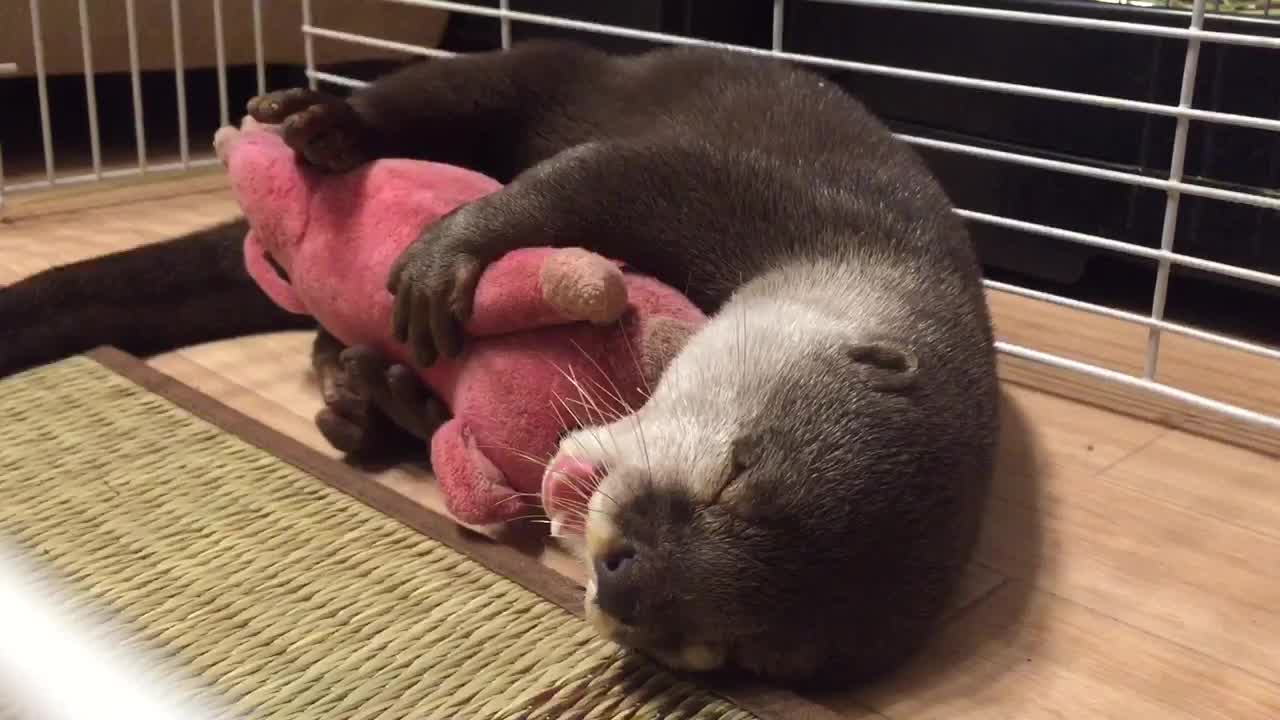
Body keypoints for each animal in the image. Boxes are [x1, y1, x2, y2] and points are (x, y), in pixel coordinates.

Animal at [0, 40, 998, 681]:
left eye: (731, 649)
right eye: (734, 475)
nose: (626, 575)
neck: (869, 252)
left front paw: (395, 399)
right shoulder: (744, 190)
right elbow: (583, 181)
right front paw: (451, 255)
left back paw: (352, 378)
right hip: (538, 68)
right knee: (444, 92)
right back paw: (317, 122)